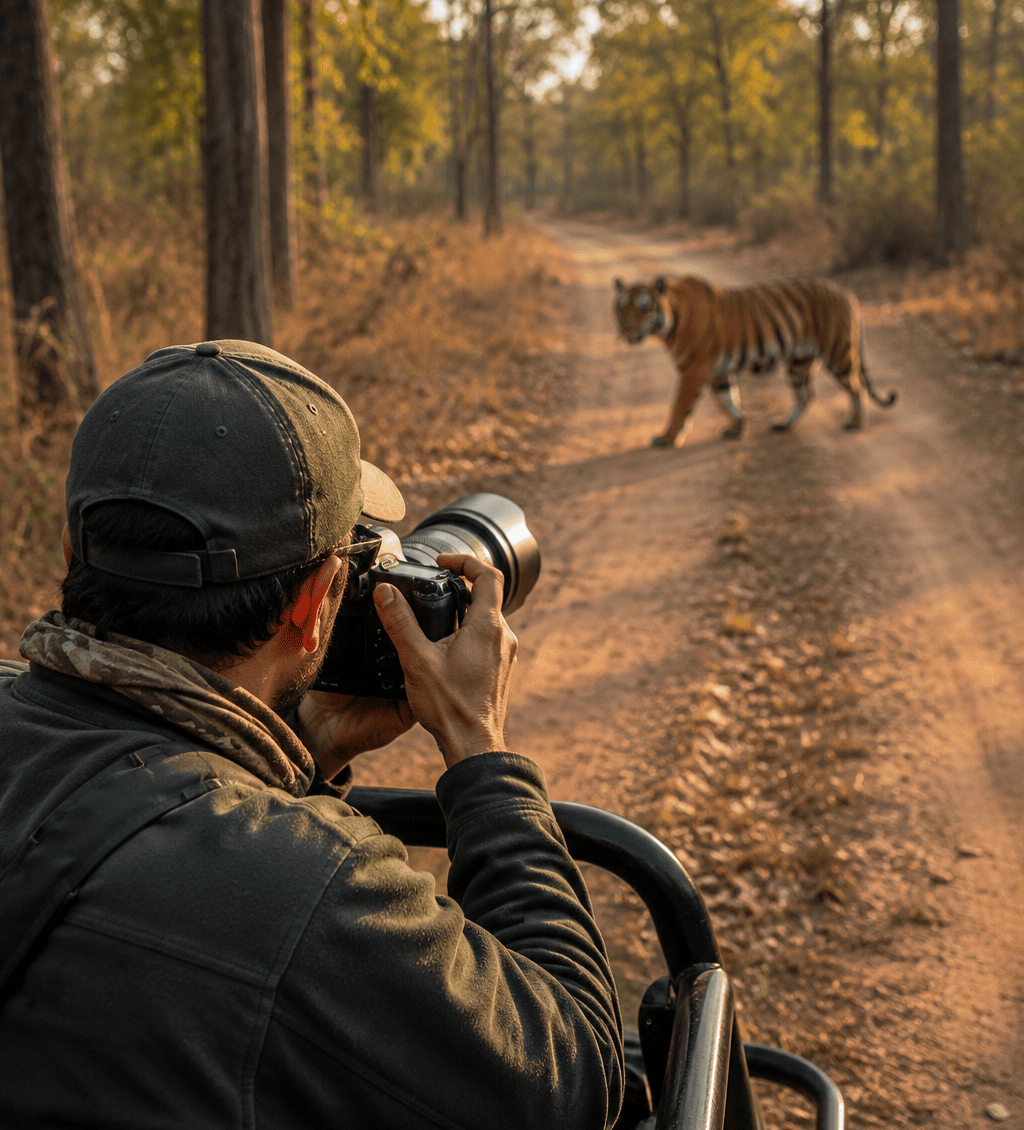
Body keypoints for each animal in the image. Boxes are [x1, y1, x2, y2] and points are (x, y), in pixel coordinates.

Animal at [613, 274, 897, 447]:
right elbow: (728, 400)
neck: (669, 323)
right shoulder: (718, 372)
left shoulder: (693, 370)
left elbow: (680, 406)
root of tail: (846, 292)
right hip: (799, 362)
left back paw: (855, 424)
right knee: (806, 395)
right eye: (622, 308)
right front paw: (738, 428)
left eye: (643, 308)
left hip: (838, 353)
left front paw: (667, 438)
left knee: (856, 387)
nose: (626, 330)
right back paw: (783, 425)